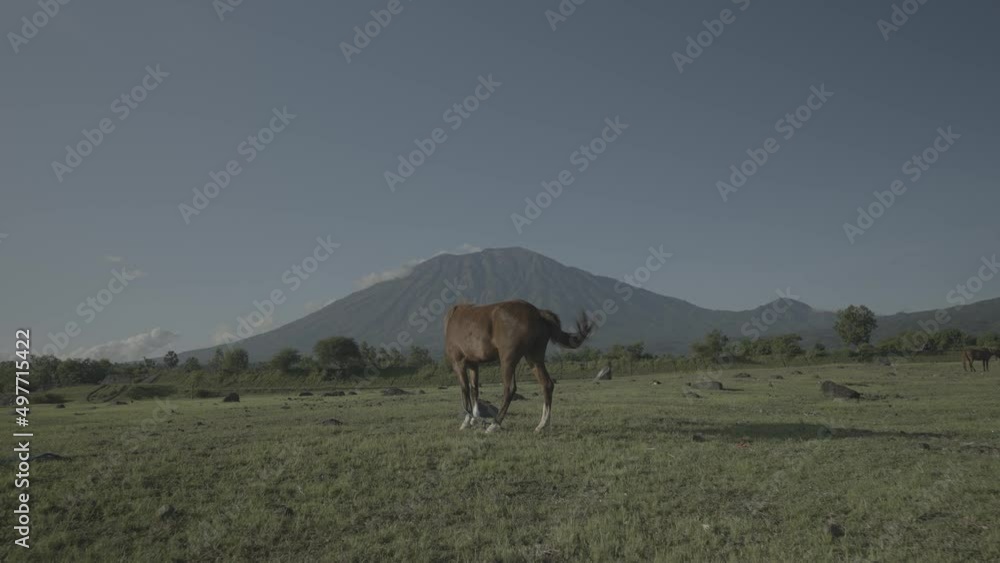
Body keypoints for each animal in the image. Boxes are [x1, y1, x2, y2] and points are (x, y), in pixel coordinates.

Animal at [444, 300, 594, 432]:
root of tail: (538, 313)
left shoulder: (458, 362)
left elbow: (465, 389)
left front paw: (466, 422)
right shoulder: (474, 364)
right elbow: (474, 389)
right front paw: (474, 419)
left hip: (507, 360)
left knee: (509, 389)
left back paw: (494, 425)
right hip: (534, 358)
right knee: (547, 384)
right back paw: (542, 425)